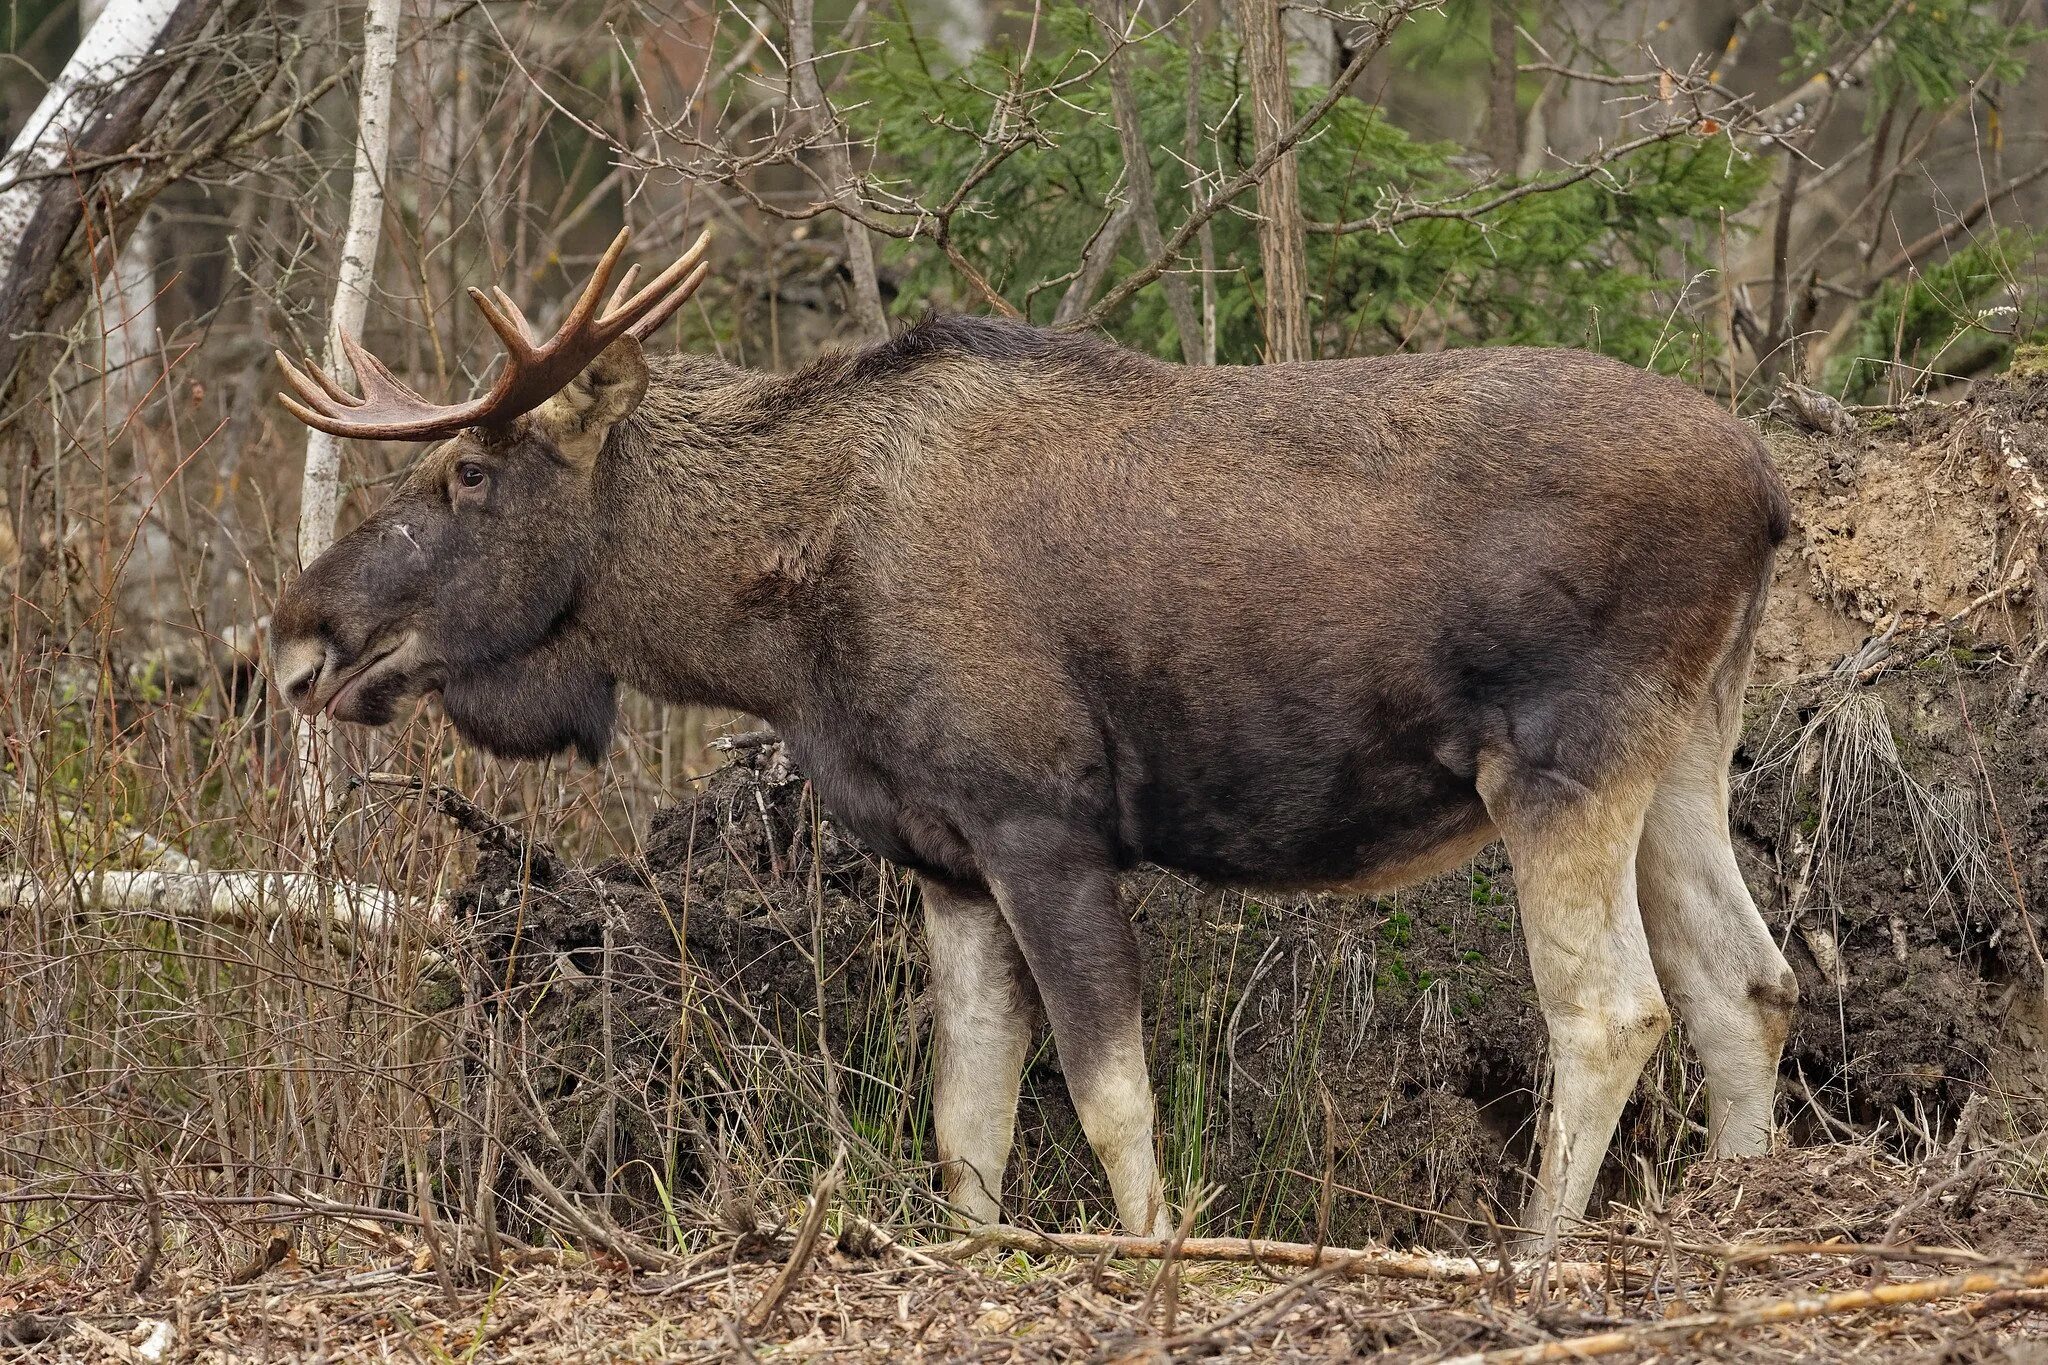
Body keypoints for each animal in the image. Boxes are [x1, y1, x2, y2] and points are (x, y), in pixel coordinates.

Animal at [272, 229, 1794, 1244]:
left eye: (469, 472)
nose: (301, 635)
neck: (774, 626)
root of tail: (1768, 490)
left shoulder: (1041, 825)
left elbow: (1111, 1100)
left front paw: (1156, 1259)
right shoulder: (945, 855)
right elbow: (968, 1125)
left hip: (1558, 755)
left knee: (1615, 1006)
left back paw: (1535, 1258)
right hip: (1682, 741)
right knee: (1748, 979)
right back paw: (1740, 1208)